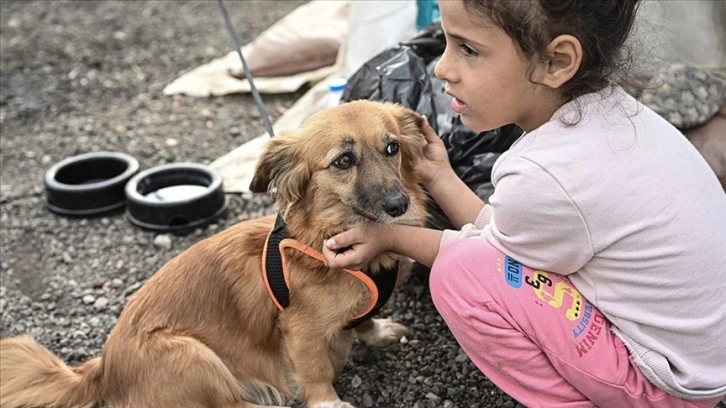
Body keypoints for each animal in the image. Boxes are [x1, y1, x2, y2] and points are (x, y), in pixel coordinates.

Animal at [0, 99, 430, 408]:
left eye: (391, 147)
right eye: (344, 160)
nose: (399, 205)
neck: (322, 235)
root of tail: (102, 370)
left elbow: (363, 319)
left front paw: (376, 331)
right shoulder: (301, 332)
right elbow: (316, 372)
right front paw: (329, 403)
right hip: (191, 355)